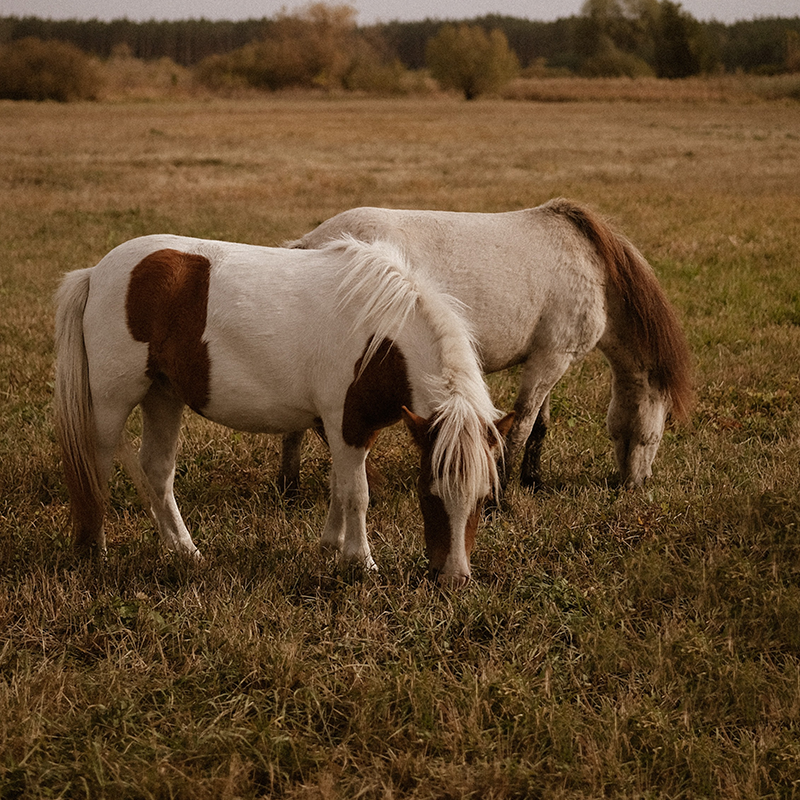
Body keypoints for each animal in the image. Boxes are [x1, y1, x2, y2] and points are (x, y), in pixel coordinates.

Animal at [54, 234, 512, 584]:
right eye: (428, 493)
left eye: (484, 498)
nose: (453, 578)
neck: (380, 335)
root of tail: (96, 274)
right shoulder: (346, 425)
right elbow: (358, 494)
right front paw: (361, 562)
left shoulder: (350, 429)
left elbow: (340, 487)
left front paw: (331, 546)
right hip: (114, 400)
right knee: (96, 466)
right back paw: (94, 550)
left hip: (162, 396)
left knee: (158, 470)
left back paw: (185, 550)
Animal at [288, 197, 692, 490]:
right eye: (660, 427)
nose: (636, 484)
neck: (596, 270)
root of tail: (308, 243)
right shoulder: (552, 359)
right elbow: (523, 423)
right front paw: (505, 490)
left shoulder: (546, 359)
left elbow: (540, 424)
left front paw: (533, 481)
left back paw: (290, 488)